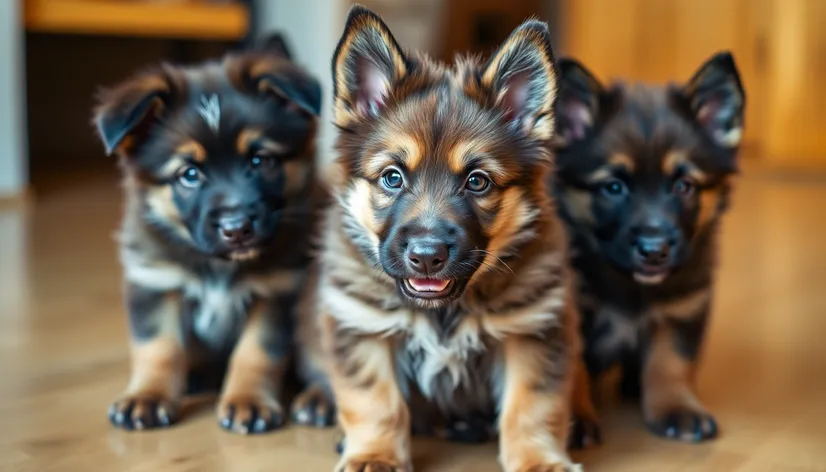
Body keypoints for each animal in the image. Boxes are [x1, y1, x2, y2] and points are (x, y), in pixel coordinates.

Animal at [92, 42, 318, 434]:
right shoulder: (155, 281)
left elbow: (257, 352)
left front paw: (248, 400)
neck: (218, 267)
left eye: (260, 160)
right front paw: (148, 396)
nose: (237, 228)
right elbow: (158, 347)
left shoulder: (278, 291)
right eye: (189, 174)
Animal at [290, 6, 584, 472]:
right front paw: (374, 455)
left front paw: (539, 461)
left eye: (477, 182)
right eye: (392, 177)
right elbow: (375, 402)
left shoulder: (535, 330)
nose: (427, 257)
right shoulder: (360, 324)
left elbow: (532, 408)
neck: (444, 312)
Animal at [552, 53, 744, 444]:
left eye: (684, 185)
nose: (654, 251)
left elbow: (671, 363)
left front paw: (677, 408)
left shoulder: (682, 308)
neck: (631, 286)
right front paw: (575, 417)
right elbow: (572, 368)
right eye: (613, 187)